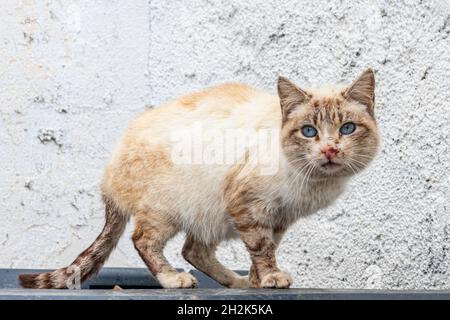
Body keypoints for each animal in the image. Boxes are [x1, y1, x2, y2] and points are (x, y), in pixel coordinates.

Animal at [21, 70, 380, 290]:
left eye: (347, 128)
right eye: (309, 131)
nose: (330, 149)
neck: (312, 181)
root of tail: (109, 171)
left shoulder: (278, 216)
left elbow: (266, 248)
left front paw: (258, 280)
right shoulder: (249, 204)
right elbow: (262, 248)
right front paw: (271, 278)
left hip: (208, 213)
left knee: (194, 251)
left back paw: (236, 282)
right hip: (167, 210)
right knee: (145, 241)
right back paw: (173, 280)